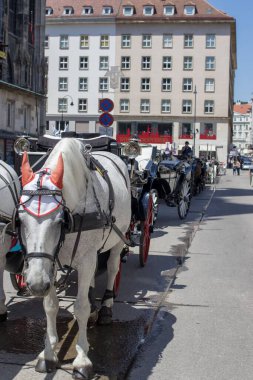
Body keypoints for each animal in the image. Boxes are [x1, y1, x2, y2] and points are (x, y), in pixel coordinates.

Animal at [17, 138, 131, 378]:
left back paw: (105, 307)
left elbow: (80, 308)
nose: (35, 285)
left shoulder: (85, 258)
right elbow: (50, 305)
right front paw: (48, 353)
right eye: (20, 220)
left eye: (60, 221)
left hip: (119, 238)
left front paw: (82, 359)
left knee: (112, 267)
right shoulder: (49, 262)